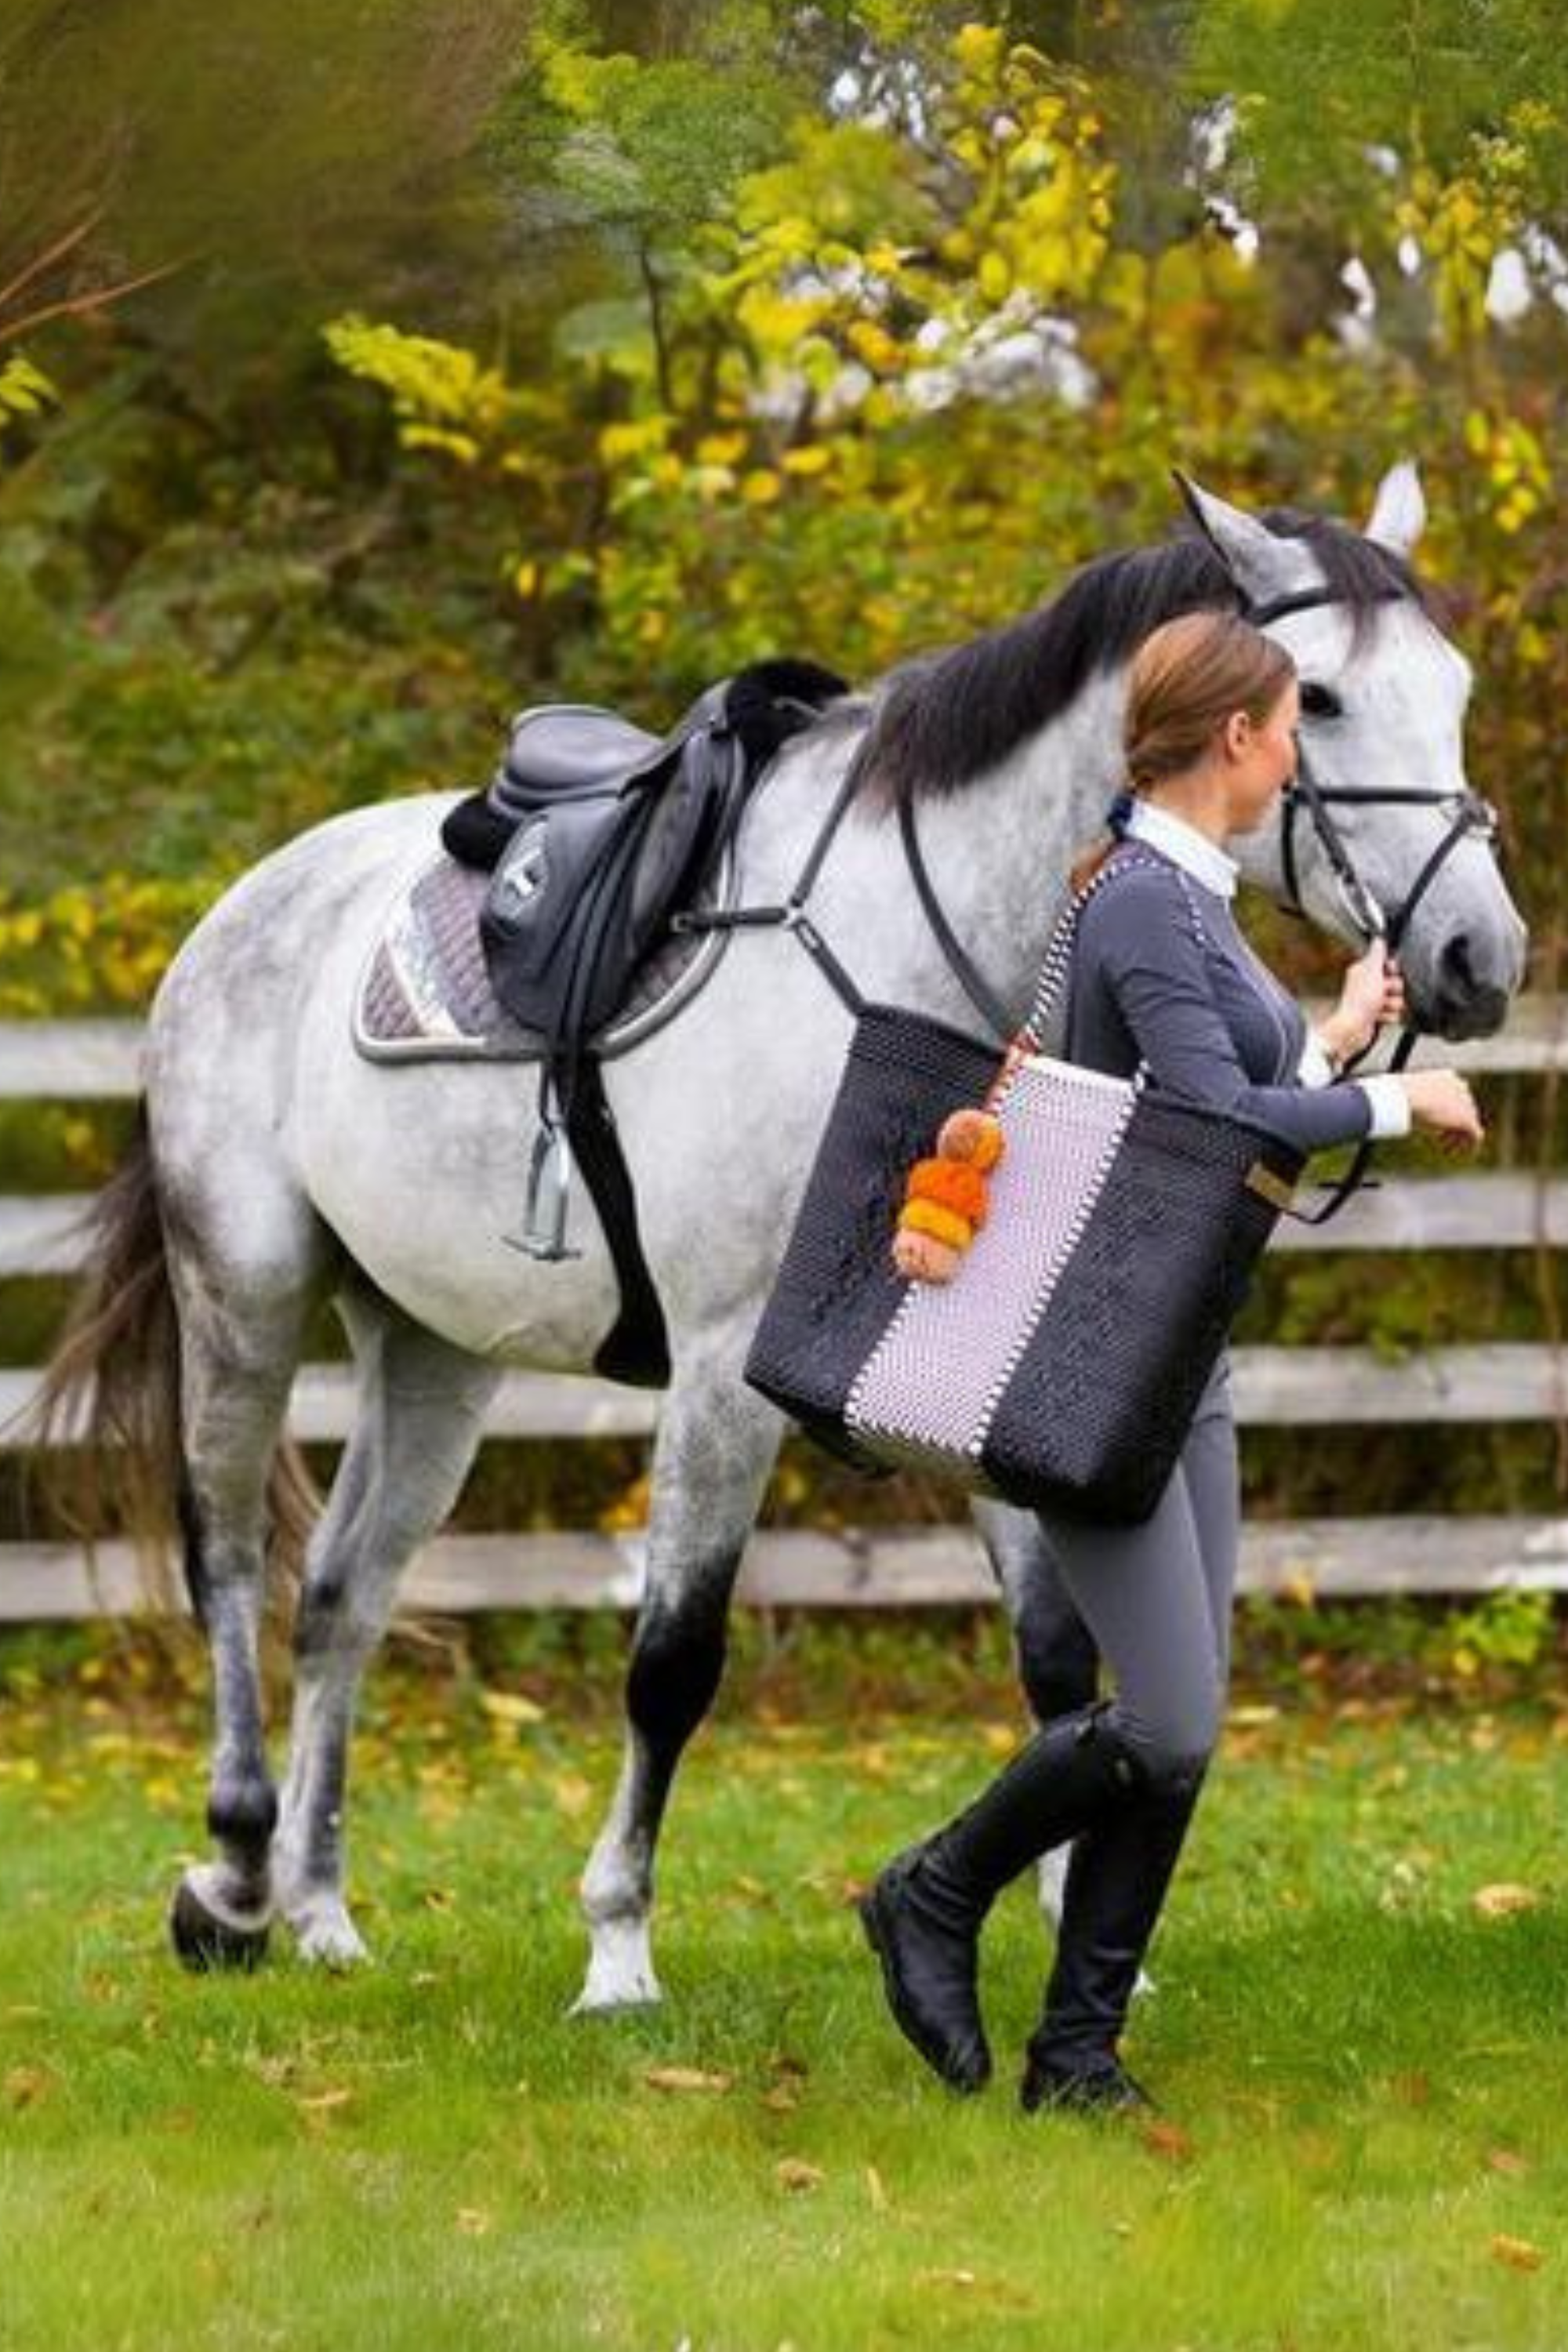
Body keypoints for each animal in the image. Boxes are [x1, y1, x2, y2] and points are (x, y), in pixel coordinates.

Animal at [39, 473, 1533, 2004]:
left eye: (1455, 688)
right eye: (1319, 698)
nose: (1479, 959)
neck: (906, 969)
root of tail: (247, 907)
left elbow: (1059, 1659)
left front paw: (1066, 1919)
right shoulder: (719, 1377)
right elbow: (673, 1663)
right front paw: (618, 1951)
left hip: (437, 1353)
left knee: (342, 1595)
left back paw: (322, 1912)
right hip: (247, 1299)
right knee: (228, 1564)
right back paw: (231, 1882)